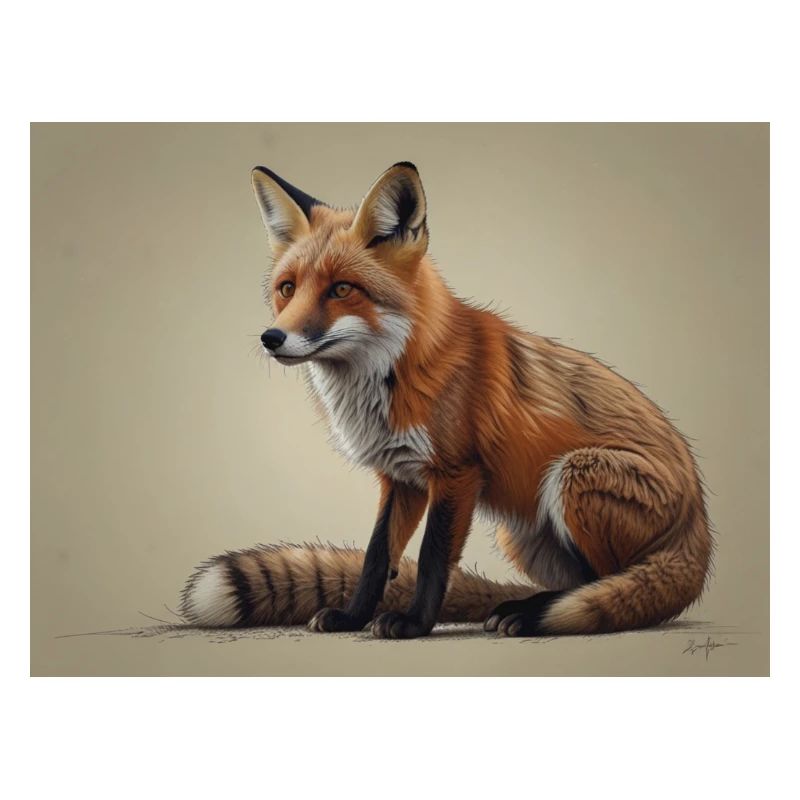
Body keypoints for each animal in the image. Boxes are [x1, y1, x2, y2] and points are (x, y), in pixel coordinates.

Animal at [179, 161, 713, 638]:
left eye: (342, 289)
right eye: (287, 289)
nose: (272, 338)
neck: (396, 375)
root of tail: (699, 526)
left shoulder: (458, 473)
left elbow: (434, 558)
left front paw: (413, 625)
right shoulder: (400, 477)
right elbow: (377, 558)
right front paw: (353, 617)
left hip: (572, 473)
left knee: (612, 588)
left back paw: (530, 615)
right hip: (520, 530)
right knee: (585, 584)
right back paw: (520, 606)